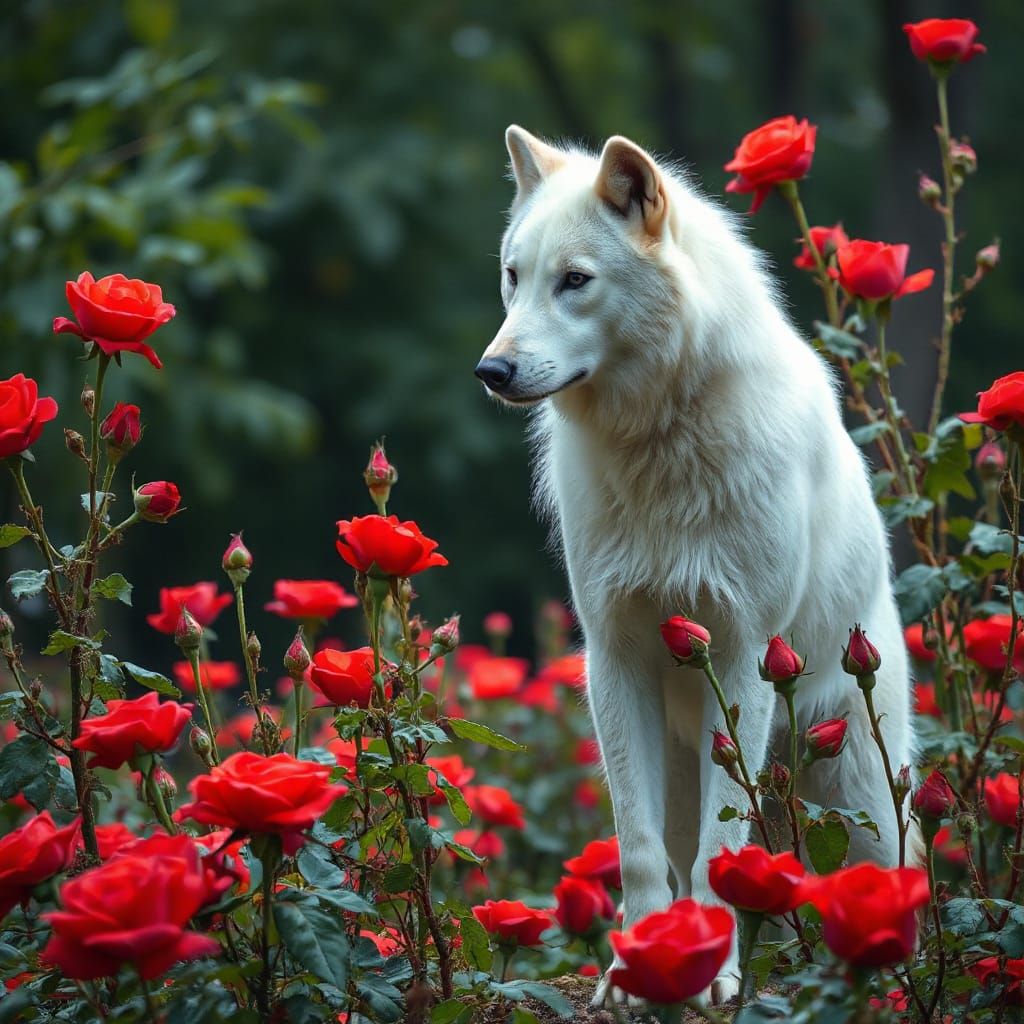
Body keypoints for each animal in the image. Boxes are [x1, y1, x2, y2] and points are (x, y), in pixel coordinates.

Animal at [475, 126, 914, 1004]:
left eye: (575, 281)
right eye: (514, 277)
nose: (492, 372)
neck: (659, 438)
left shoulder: (741, 654)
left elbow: (723, 845)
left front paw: (712, 976)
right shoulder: (616, 658)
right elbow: (639, 848)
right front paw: (636, 967)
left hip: (861, 794)